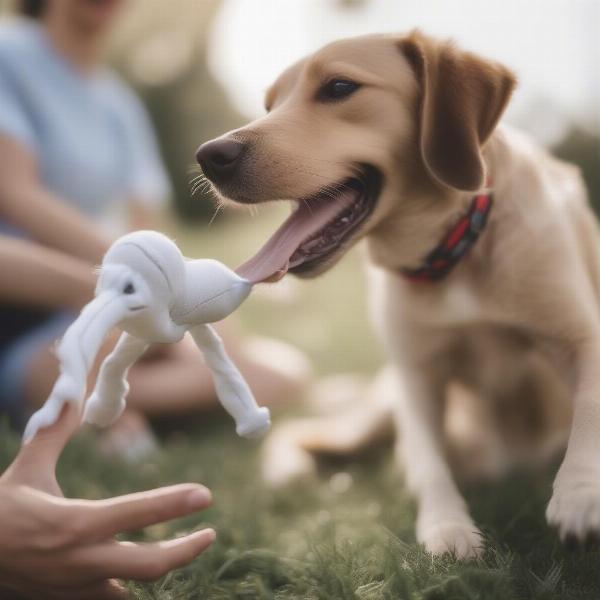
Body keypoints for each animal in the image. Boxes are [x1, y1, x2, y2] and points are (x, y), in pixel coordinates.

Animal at [196, 31, 596, 556]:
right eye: (268, 105)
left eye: (339, 87)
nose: (209, 157)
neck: (453, 254)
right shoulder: (415, 374)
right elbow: (428, 461)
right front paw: (446, 527)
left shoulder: (579, 337)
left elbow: (589, 411)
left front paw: (578, 494)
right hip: (373, 414)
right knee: (301, 430)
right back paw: (291, 469)